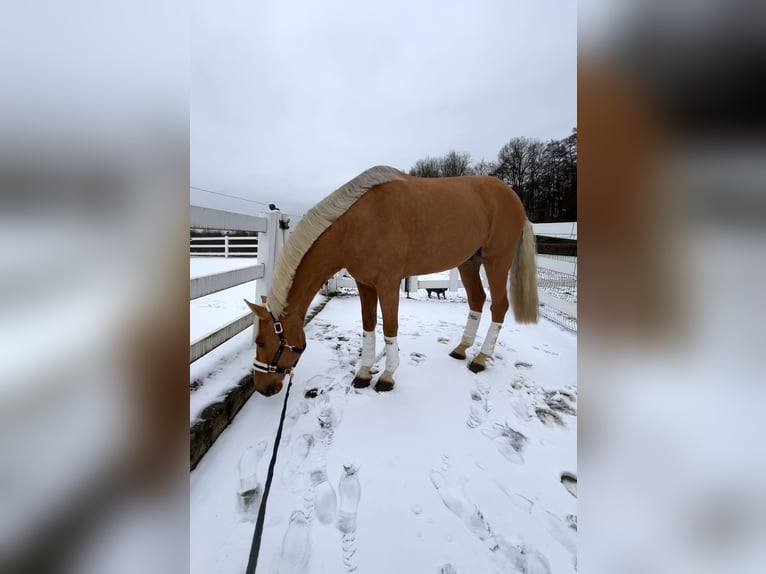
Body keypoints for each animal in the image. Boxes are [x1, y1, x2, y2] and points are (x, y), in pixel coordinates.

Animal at [244, 165, 538, 397]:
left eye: (261, 343)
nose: (262, 387)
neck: (358, 224)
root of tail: (512, 196)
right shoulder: (364, 284)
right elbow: (369, 326)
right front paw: (364, 373)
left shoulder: (388, 284)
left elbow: (390, 328)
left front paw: (386, 377)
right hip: (468, 262)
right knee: (477, 299)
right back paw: (461, 349)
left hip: (496, 260)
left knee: (498, 305)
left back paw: (480, 358)